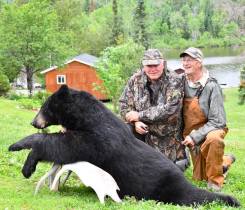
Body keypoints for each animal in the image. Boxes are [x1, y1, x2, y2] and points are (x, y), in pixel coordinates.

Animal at [8, 85, 240, 207]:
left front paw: (22, 156)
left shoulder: (99, 140)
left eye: (44, 107)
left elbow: (66, 145)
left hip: (166, 187)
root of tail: (183, 179)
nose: (34, 121)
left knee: (191, 197)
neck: (85, 117)